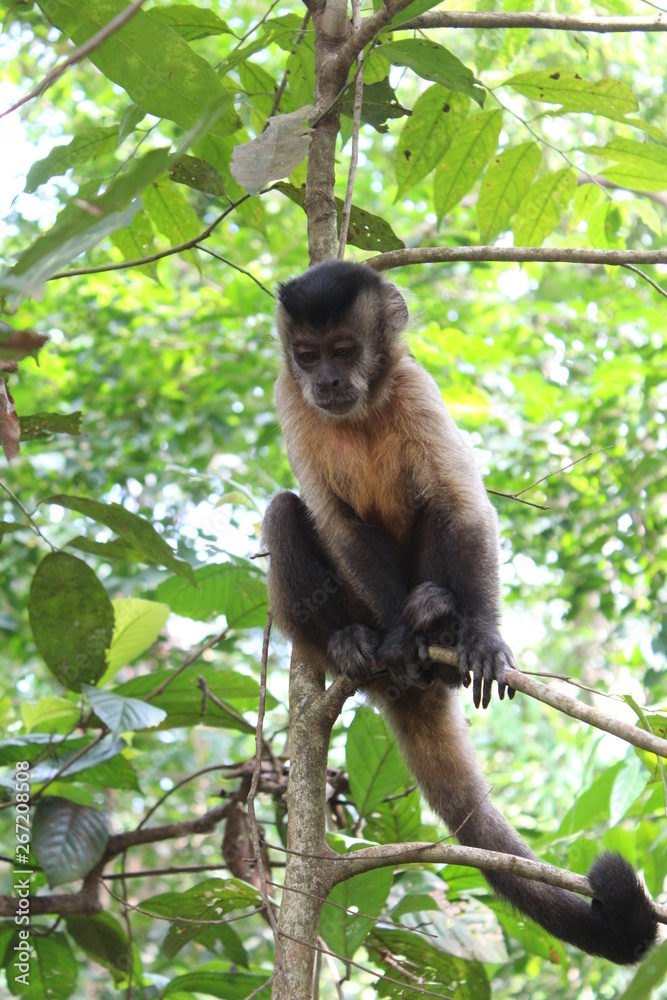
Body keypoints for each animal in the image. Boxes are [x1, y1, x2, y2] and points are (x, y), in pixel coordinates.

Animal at [261, 259, 657, 965]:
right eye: (306, 355)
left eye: (344, 351)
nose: (326, 381)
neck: (361, 409)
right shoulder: (289, 396)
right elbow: (337, 525)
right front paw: (394, 640)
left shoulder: (416, 388)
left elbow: (463, 506)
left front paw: (482, 638)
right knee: (285, 510)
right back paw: (357, 646)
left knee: (433, 509)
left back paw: (440, 623)